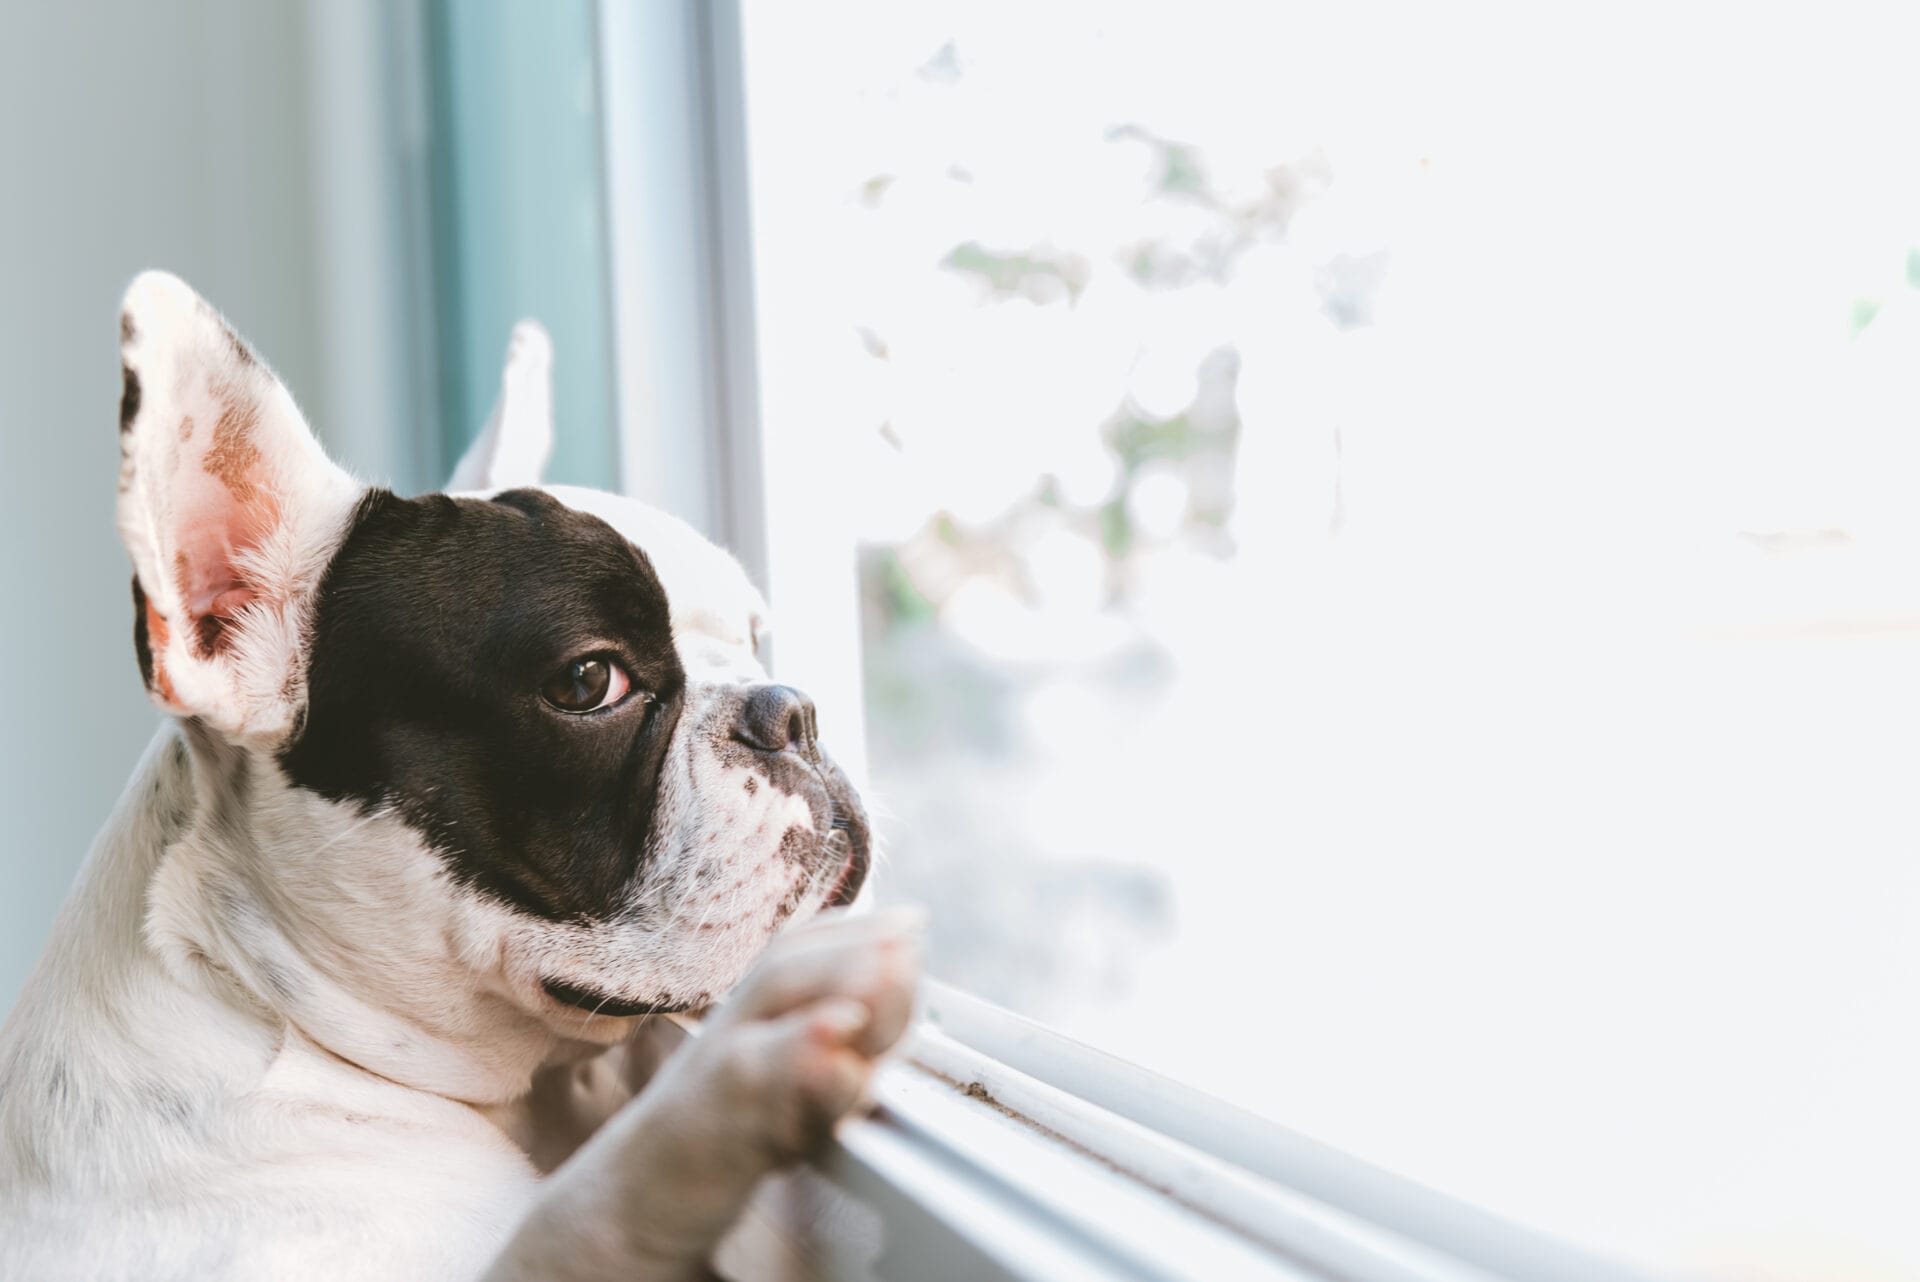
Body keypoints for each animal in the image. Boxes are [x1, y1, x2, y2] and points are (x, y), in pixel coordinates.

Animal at [0, 276, 921, 1274]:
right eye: (588, 681)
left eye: (755, 636)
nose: (792, 711)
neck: (267, 1005)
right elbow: (576, 1222)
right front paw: (734, 1077)